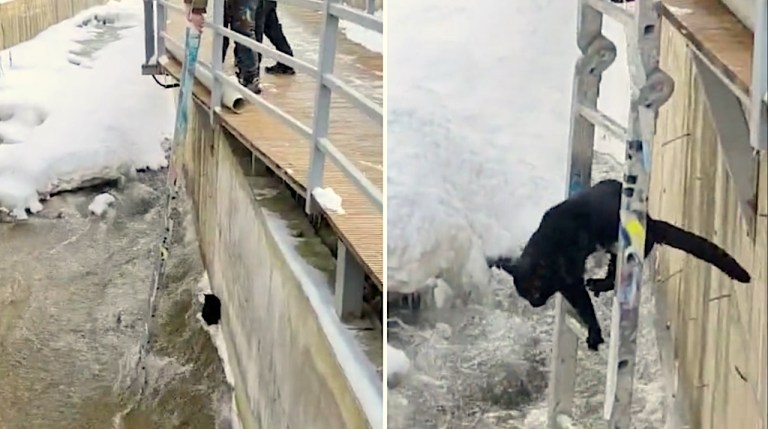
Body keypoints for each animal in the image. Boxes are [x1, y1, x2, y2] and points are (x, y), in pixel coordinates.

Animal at [492, 179, 752, 350]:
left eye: (535, 290)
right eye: (525, 295)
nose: (535, 304)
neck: (547, 246)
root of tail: (652, 222)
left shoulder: (571, 279)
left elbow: (584, 306)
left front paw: (594, 333)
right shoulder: (566, 282)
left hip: (623, 248)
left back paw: (600, 284)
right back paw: (599, 283)